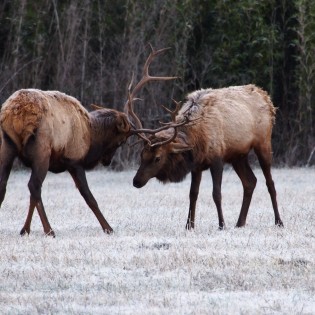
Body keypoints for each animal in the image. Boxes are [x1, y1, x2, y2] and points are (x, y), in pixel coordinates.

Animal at [0, 45, 178, 237]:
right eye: (121, 141)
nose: (107, 162)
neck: (91, 135)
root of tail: (17, 115)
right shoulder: (74, 160)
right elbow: (89, 197)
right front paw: (108, 228)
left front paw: (24, 229)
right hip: (42, 150)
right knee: (34, 186)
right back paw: (49, 230)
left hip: (7, 145)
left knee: (5, 185)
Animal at [130, 85, 286, 231]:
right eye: (142, 155)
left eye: (157, 158)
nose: (136, 181)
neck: (197, 139)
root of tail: (266, 98)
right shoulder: (196, 165)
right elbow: (193, 194)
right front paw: (189, 226)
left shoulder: (217, 159)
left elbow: (216, 194)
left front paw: (222, 225)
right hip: (238, 156)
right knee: (250, 181)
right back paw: (240, 223)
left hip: (263, 143)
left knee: (270, 183)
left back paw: (279, 221)